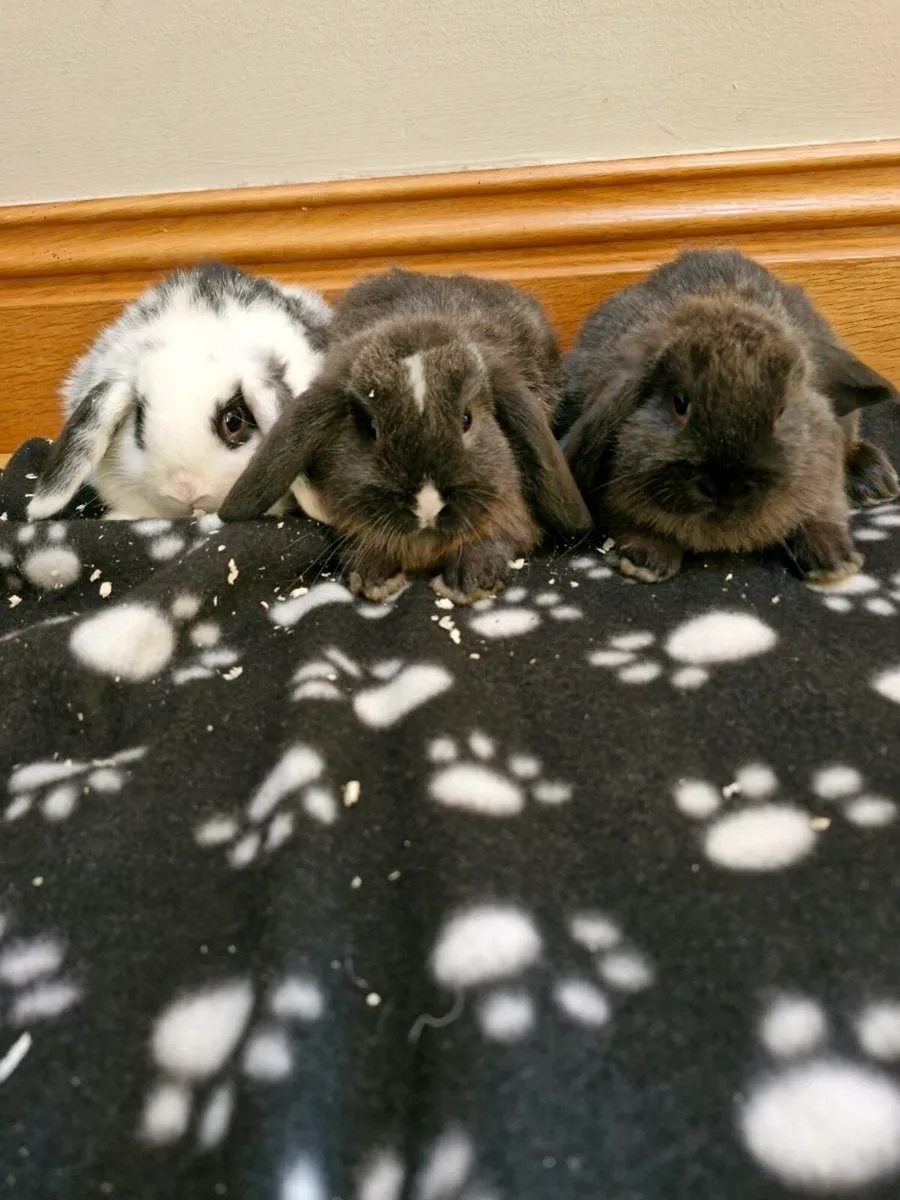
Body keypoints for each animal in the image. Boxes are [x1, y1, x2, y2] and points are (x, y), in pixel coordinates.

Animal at [560, 248, 900, 585]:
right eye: (680, 403)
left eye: (781, 411)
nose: (724, 485)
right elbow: (633, 522)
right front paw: (644, 561)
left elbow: (821, 516)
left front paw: (833, 561)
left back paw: (876, 481)